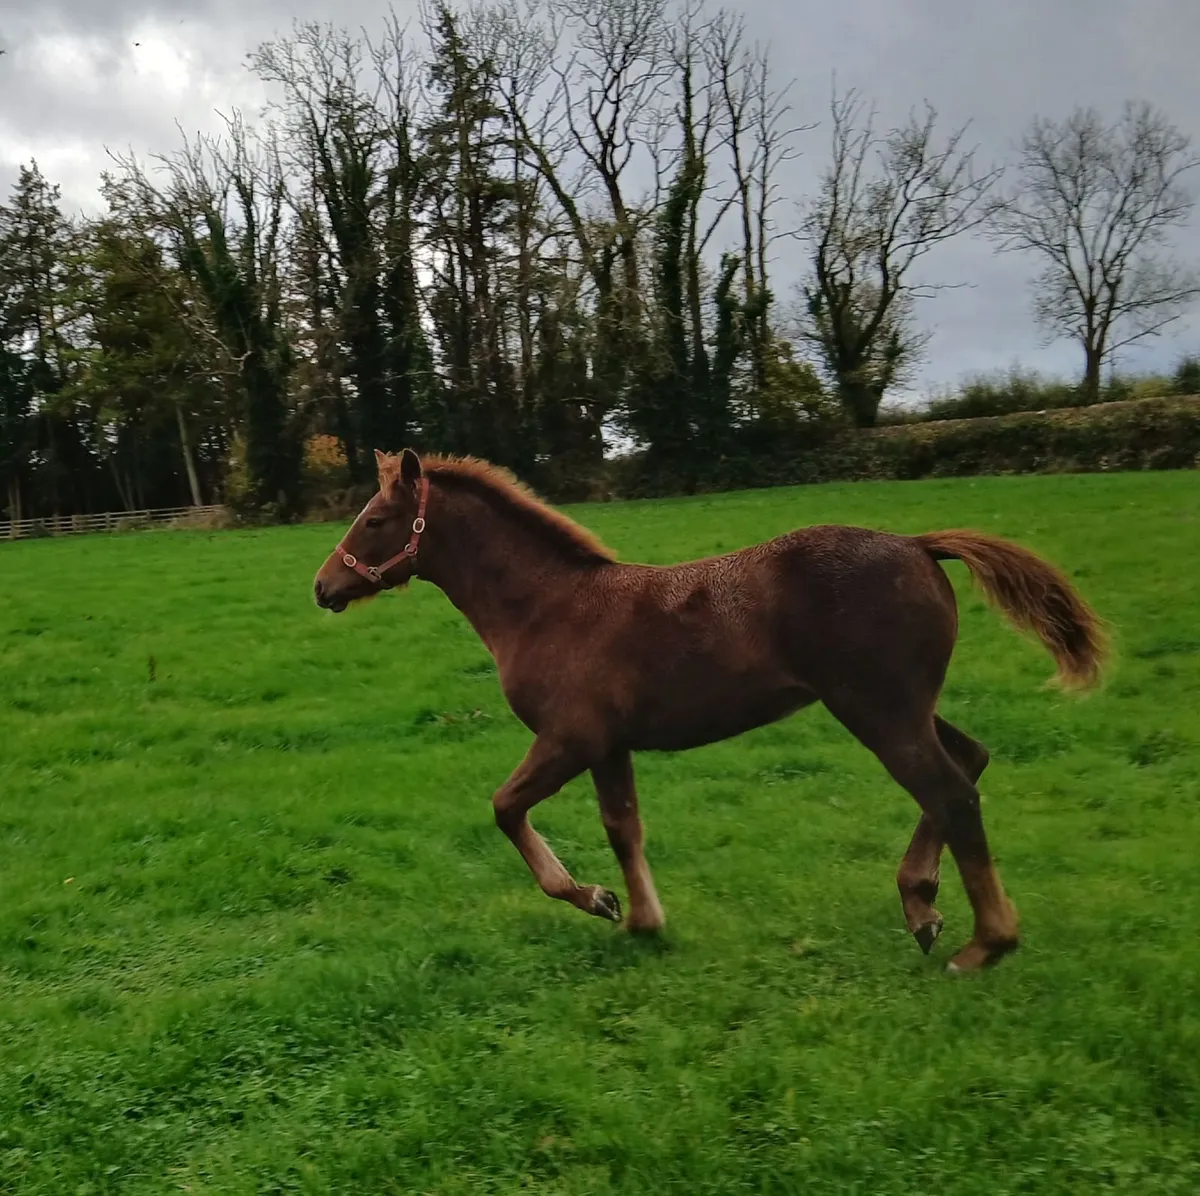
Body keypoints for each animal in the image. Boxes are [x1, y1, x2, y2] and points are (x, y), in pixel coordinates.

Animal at [313, 449, 1106, 973]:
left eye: (376, 519)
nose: (323, 587)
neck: (547, 608)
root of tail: (918, 545)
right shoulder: (610, 746)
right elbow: (624, 827)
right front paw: (640, 920)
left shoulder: (570, 738)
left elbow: (507, 808)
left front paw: (596, 899)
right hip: (902, 706)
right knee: (969, 762)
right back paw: (922, 904)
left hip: (878, 711)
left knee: (951, 791)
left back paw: (984, 943)